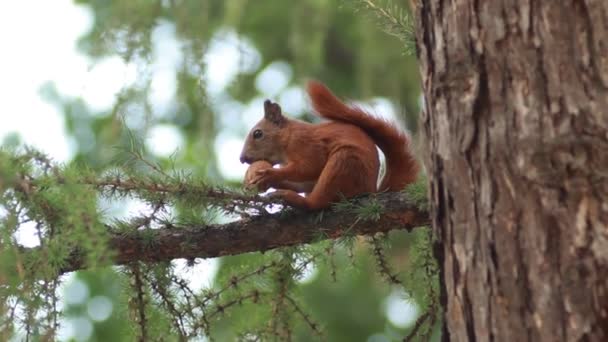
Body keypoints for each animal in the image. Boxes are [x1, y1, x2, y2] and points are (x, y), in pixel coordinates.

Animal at [239, 81, 418, 208]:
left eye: (258, 134)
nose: (242, 158)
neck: (287, 138)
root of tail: (371, 190)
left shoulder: (305, 144)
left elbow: (309, 166)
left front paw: (270, 175)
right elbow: (302, 182)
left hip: (343, 164)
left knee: (317, 203)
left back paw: (293, 199)